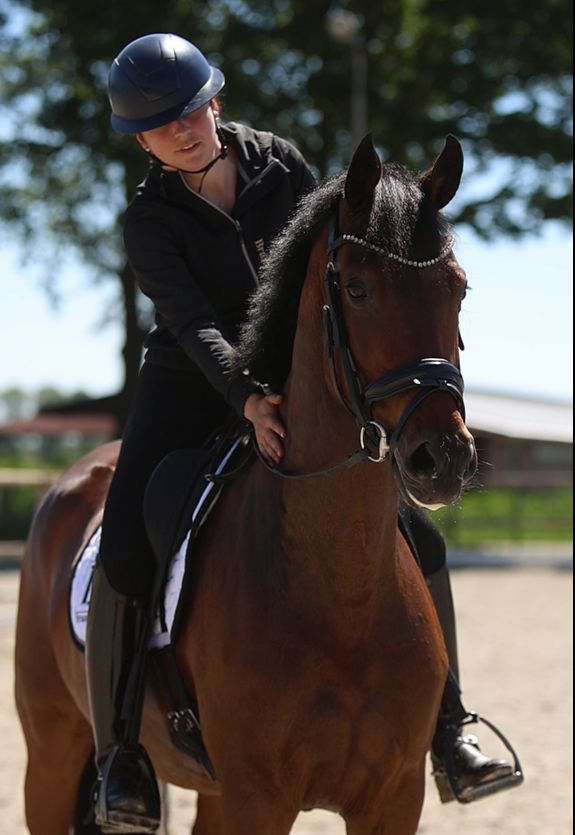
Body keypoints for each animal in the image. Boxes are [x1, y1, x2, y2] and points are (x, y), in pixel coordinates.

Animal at [15, 133, 477, 834]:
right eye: (359, 289)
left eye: (458, 289)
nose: (443, 457)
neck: (340, 595)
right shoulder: (257, 799)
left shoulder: (394, 798)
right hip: (52, 754)